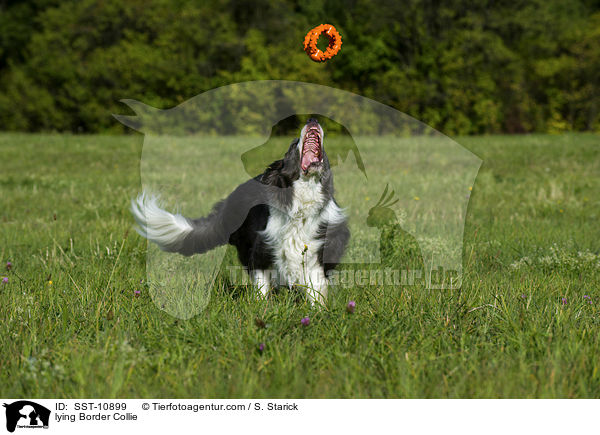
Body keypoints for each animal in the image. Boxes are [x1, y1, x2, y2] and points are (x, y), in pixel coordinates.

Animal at [129, 117, 350, 304]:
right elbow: (261, 289)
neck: (301, 205)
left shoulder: (318, 254)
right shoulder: (261, 251)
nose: (312, 119)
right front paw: (262, 310)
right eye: (293, 143)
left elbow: (317, 292)